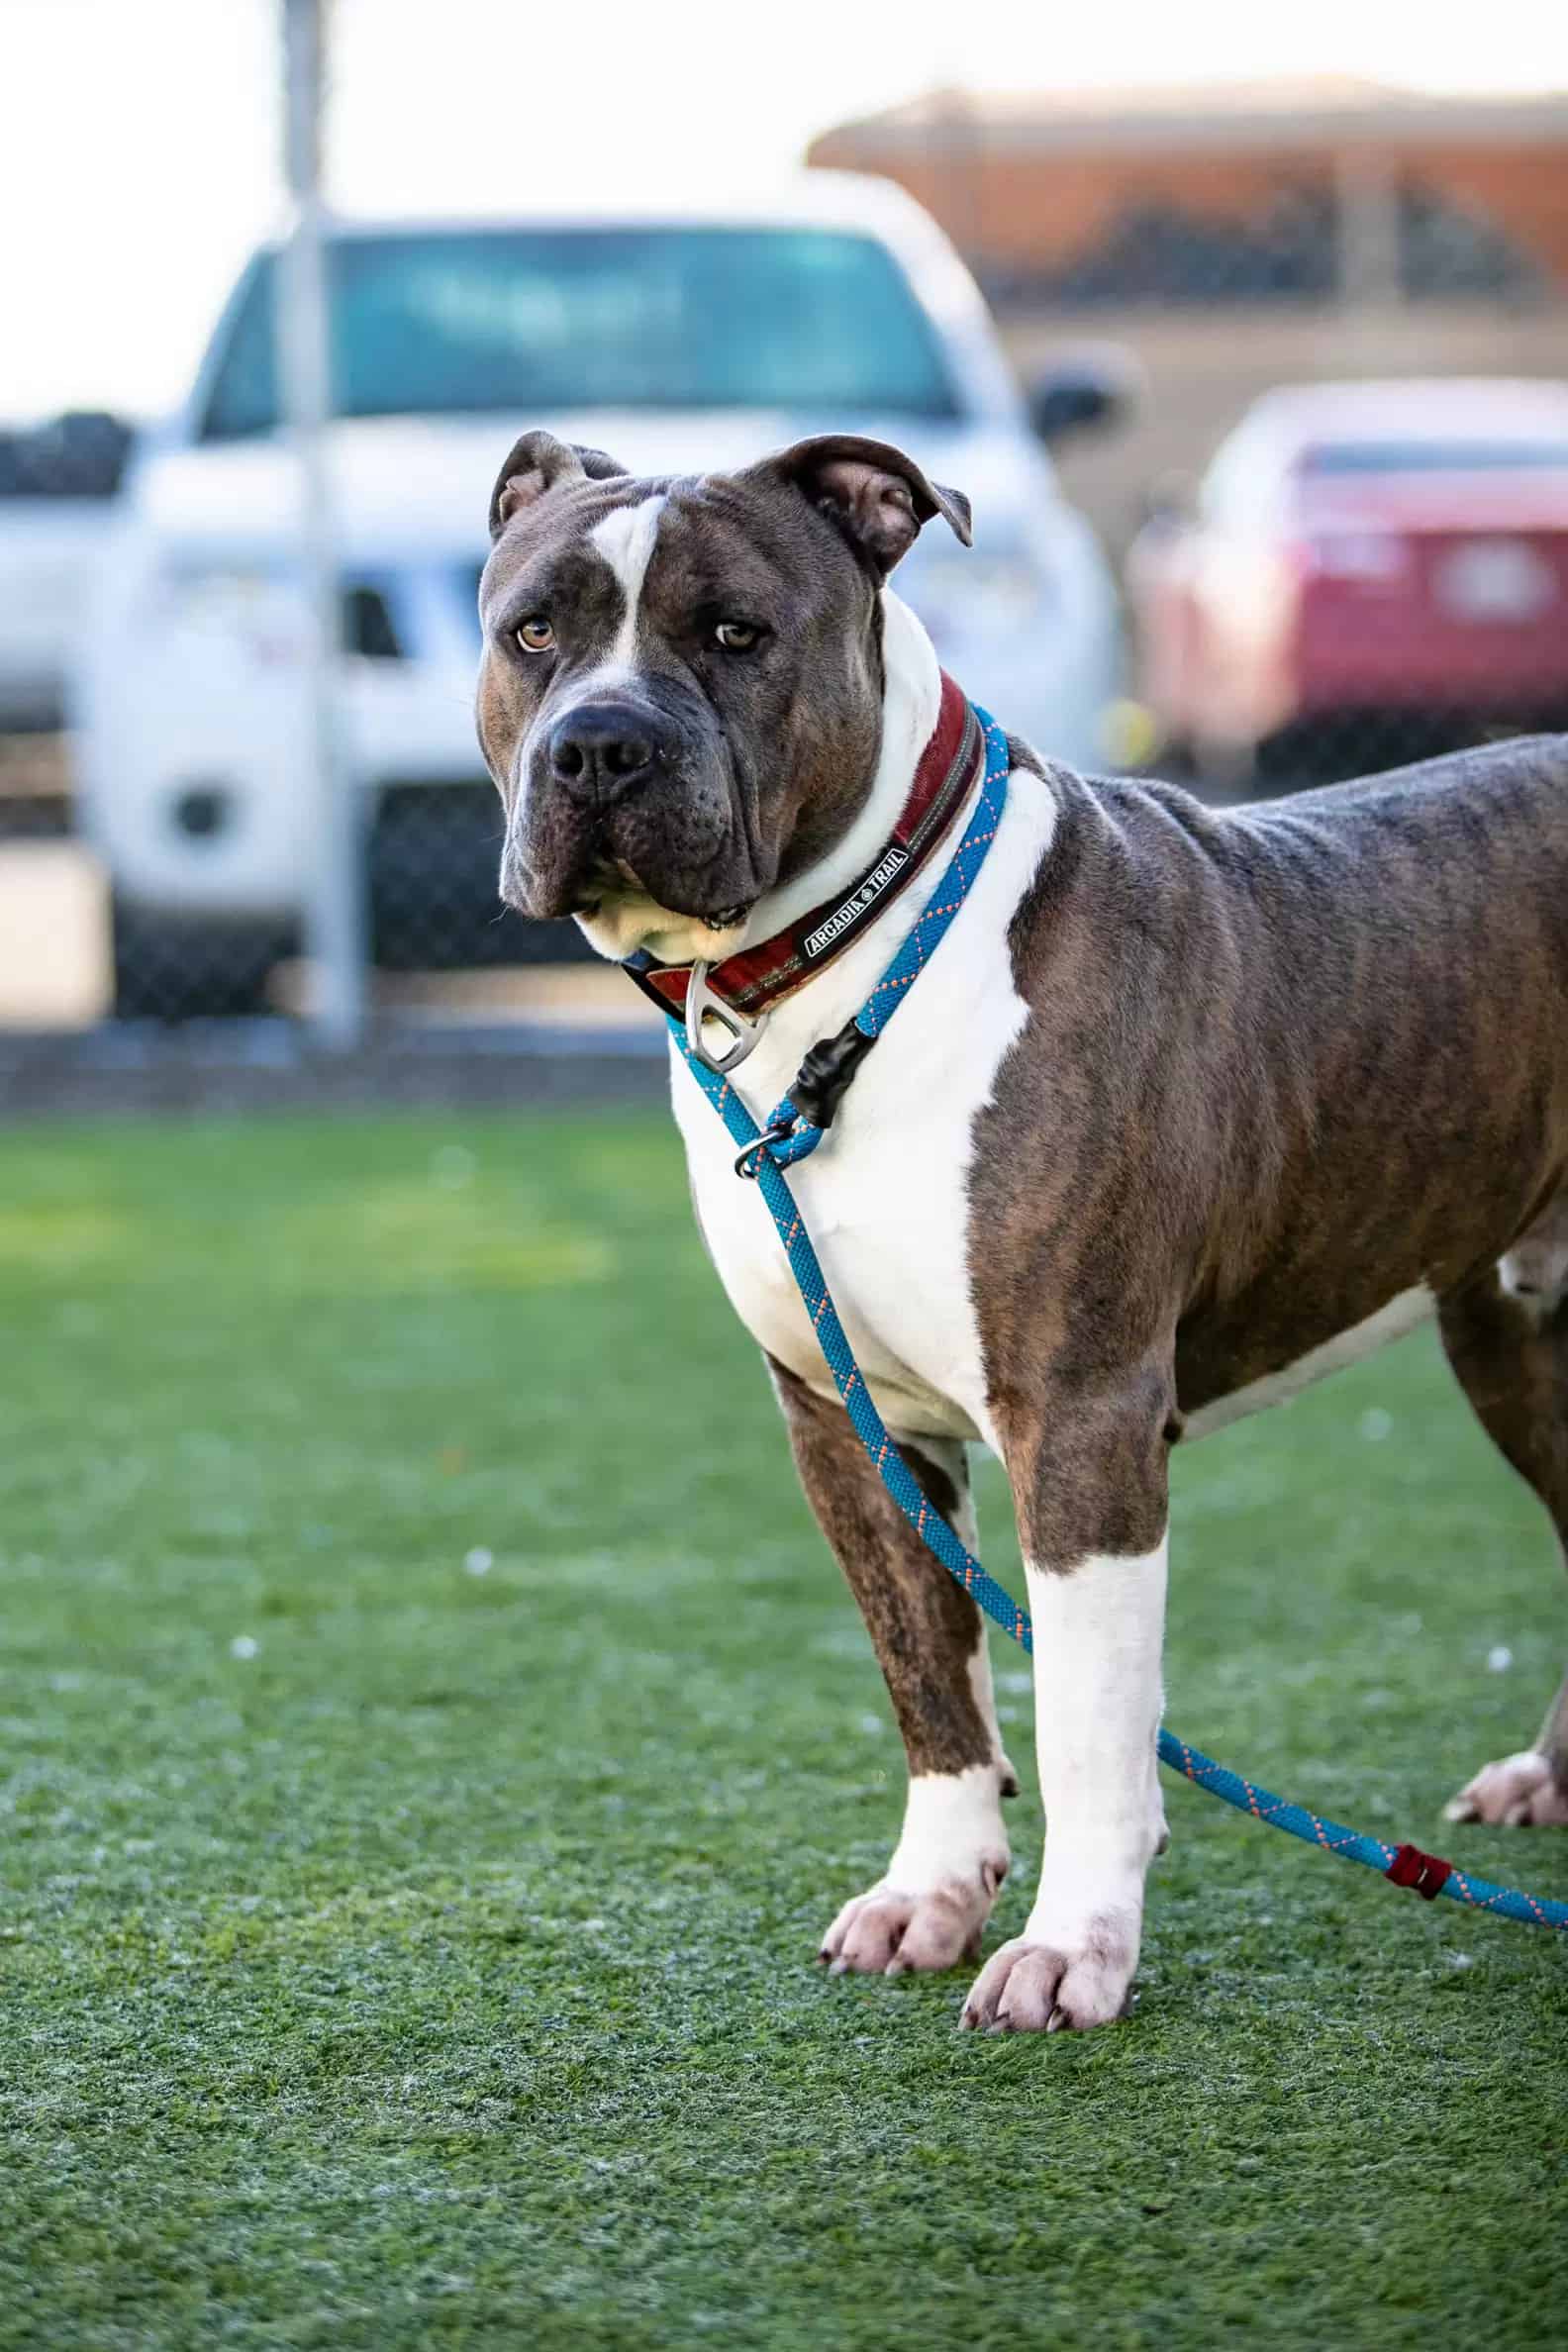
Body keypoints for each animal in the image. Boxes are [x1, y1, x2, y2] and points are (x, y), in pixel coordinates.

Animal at [474, 433, 1568, 2031]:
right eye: (532, 632)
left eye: (736, 631)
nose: (598, 746)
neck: (844, 968)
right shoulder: (848, 1423)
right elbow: (930, 1672)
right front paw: (931, 1894)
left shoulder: (1082, 1414)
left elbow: (1088, 1722)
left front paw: (1074, 1946)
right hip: (1517, 1333)